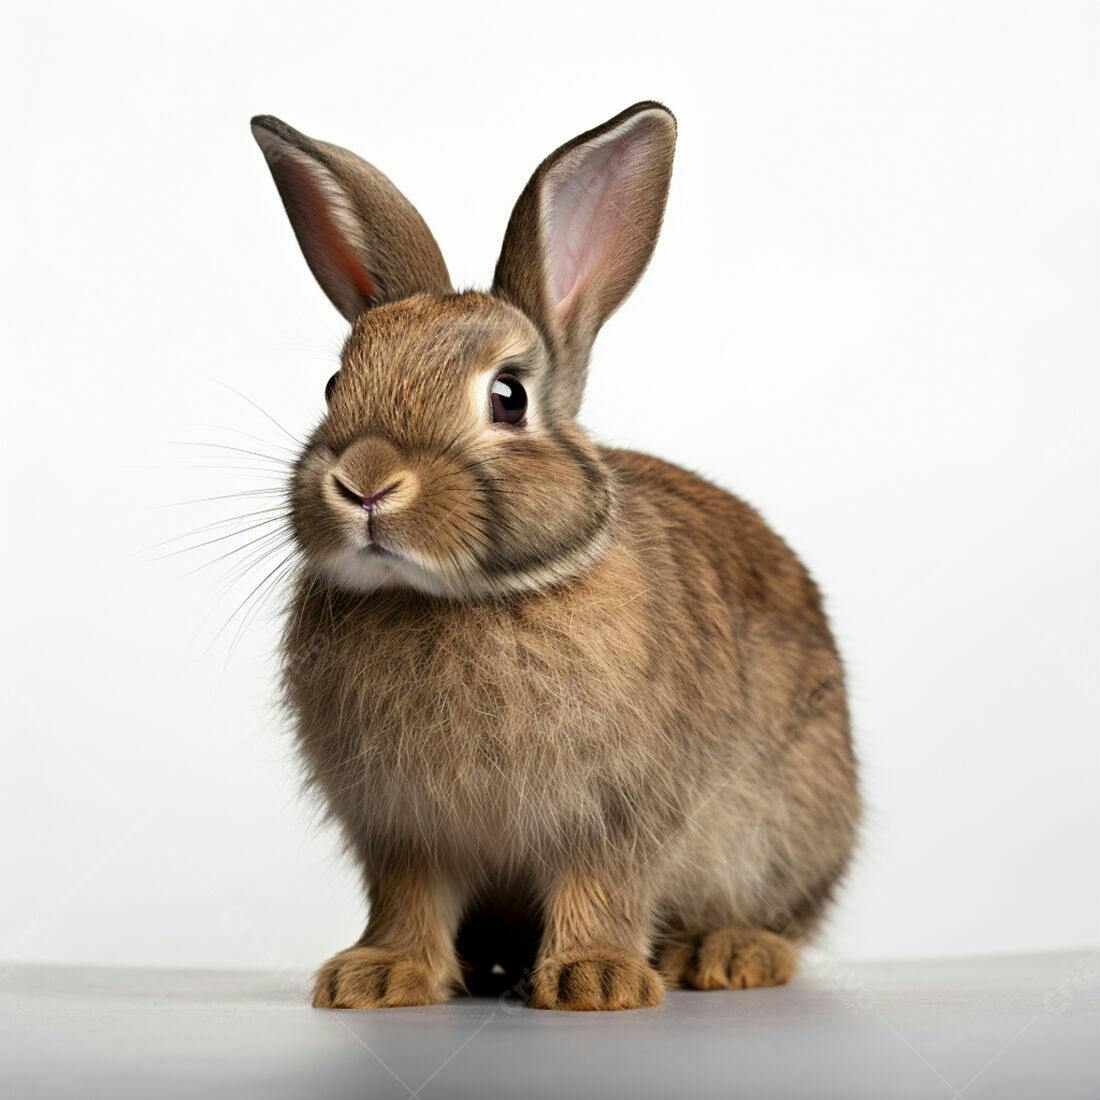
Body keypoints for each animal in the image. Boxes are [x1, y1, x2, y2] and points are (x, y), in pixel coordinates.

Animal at [251, 101, 860, 1011]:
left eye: (508, 396)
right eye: (333, 385)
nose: (364, 483)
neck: (458, 596)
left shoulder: (619, 810)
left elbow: (600, 882)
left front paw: (595, 980)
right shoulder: (402, 827)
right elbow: (408, 898)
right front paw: (378, 977)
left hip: (794, 825)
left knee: (780, 919)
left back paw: (725, 956)